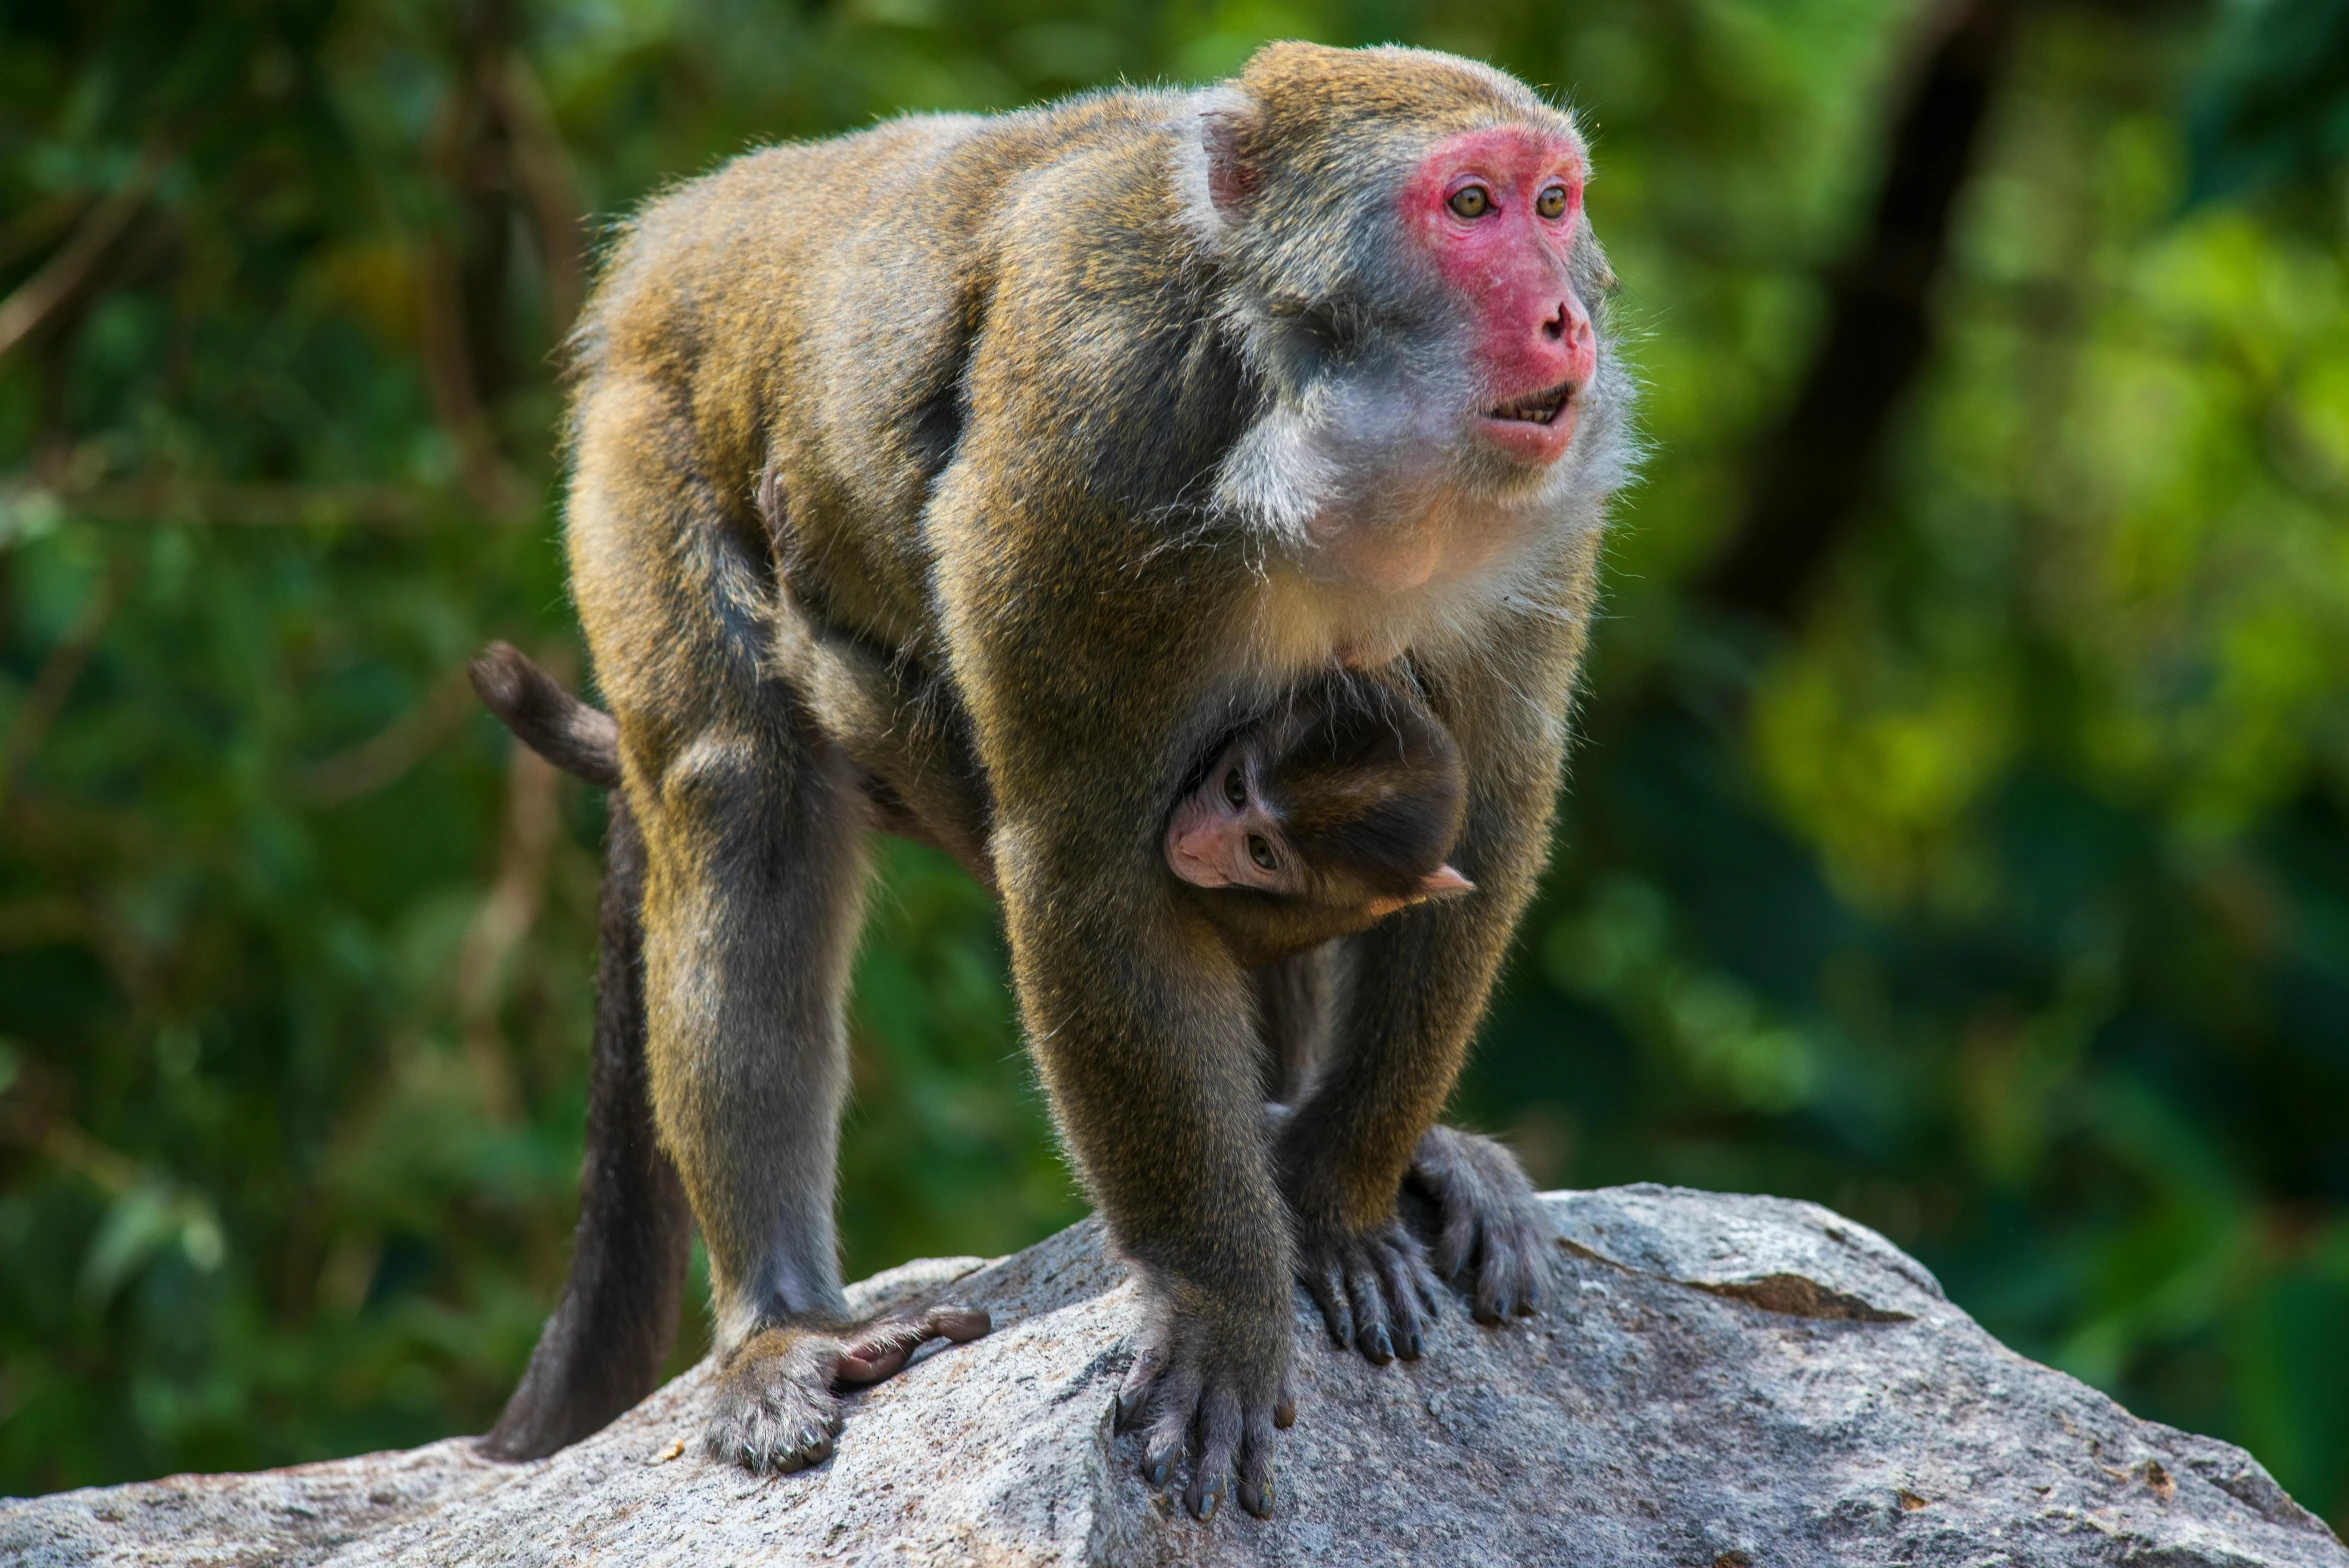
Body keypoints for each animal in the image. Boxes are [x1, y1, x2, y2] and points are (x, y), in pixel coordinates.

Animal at [566, 42, 1634, 1521]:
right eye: (1468, 205)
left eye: (1553, 202)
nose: (1565, 320)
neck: (1300, 424)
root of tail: (685, 228)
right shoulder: (1093, 442)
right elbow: (1087, 868)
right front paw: (1219, 1293)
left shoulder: (1543, 511)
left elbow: (1494, 817)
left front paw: (1341, 1194)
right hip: (647, 436)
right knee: (739, 805)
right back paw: (783, 1324)